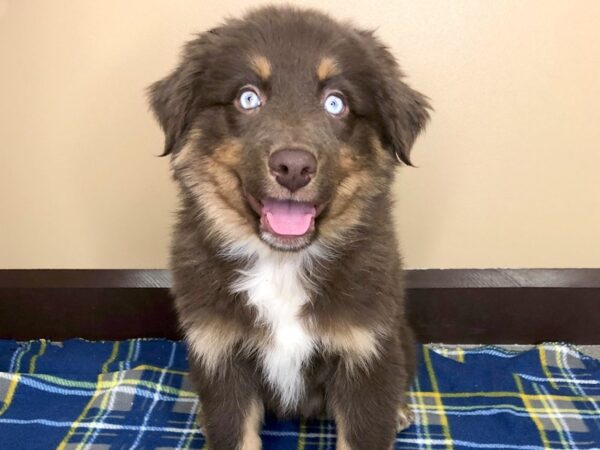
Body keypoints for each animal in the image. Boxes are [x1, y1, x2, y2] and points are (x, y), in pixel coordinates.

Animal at [150, 4, 432, 450]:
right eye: (248, 97)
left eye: (336, 103)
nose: (294, 167)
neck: (282, 265)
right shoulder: (219, 354)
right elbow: (234, 432)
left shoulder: (366, 352)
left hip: (399, 338)